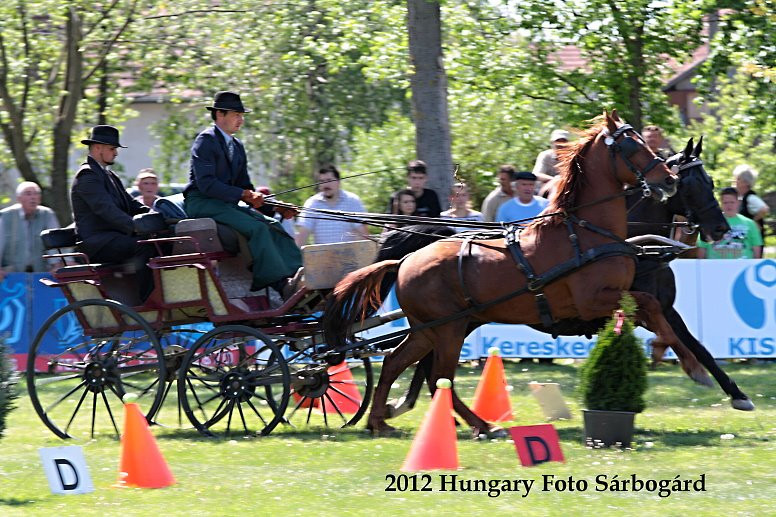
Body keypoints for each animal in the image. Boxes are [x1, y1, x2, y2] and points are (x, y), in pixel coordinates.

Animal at [324, 113, 708, 436]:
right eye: (632, 146)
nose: (669, 180)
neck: (585, 232)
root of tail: (405, 261)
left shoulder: (611, 299)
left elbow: (653, 310)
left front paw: (677, 358)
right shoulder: (594, 300)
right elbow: (652, 306)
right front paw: (691, 366)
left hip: (429, 329)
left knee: (395, 363)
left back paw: (382, 421)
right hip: (447, 329)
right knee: (439, 376)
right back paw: (478, 424)